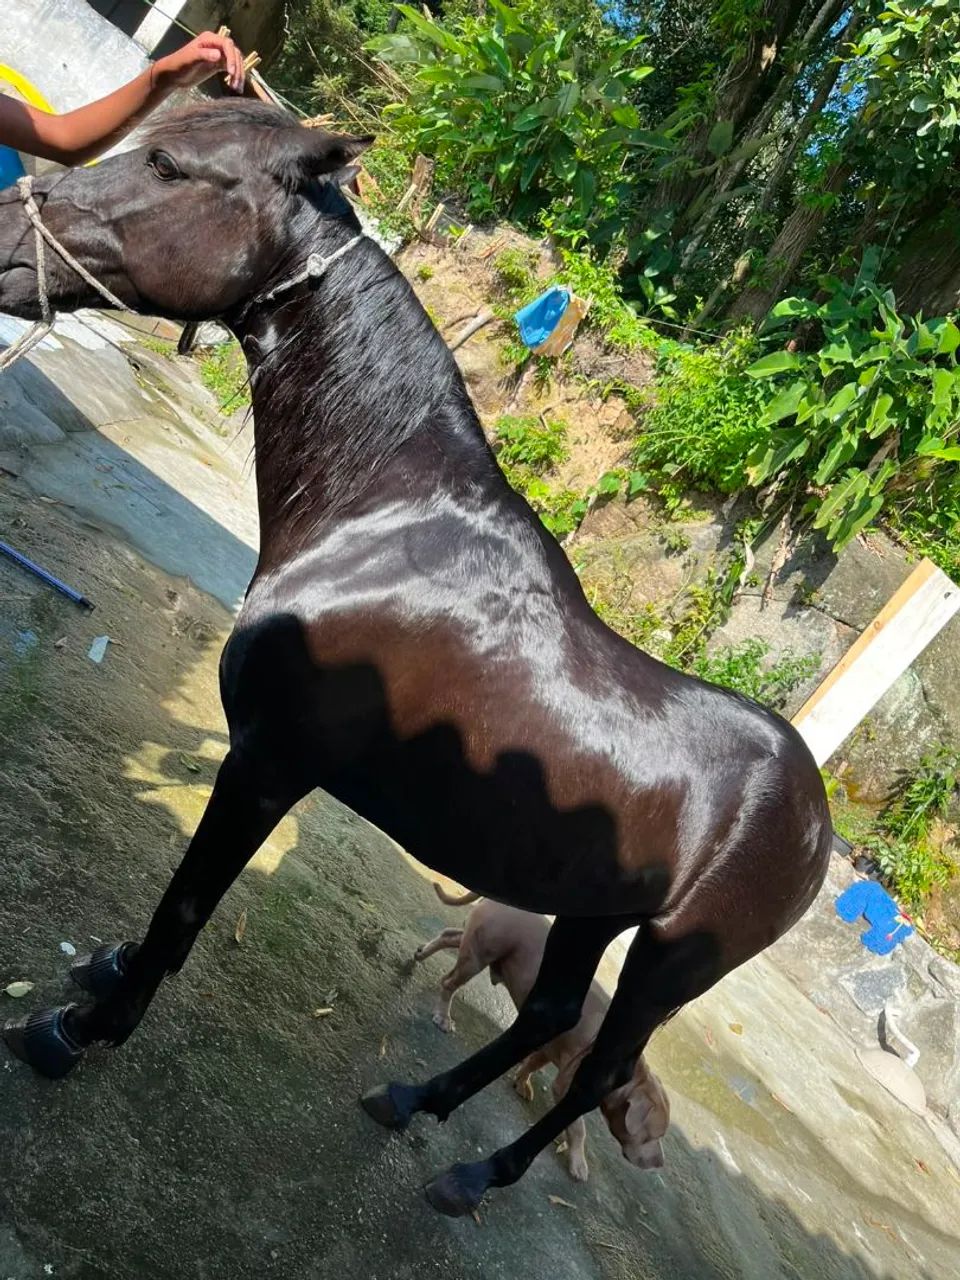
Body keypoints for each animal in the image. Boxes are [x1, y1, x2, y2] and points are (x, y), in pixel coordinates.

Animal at [0, 101, 831, 1217]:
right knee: (546, 1014)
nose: (8, 230)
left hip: (669, 964)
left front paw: (77, 1030)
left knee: (597, 1071)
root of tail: (815, 819)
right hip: (594, 909)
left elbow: (183, 911)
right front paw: (103, 974)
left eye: (171, 165)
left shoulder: (267, 764)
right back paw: (411, 1099)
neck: (381, 515)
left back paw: (475, 1173)